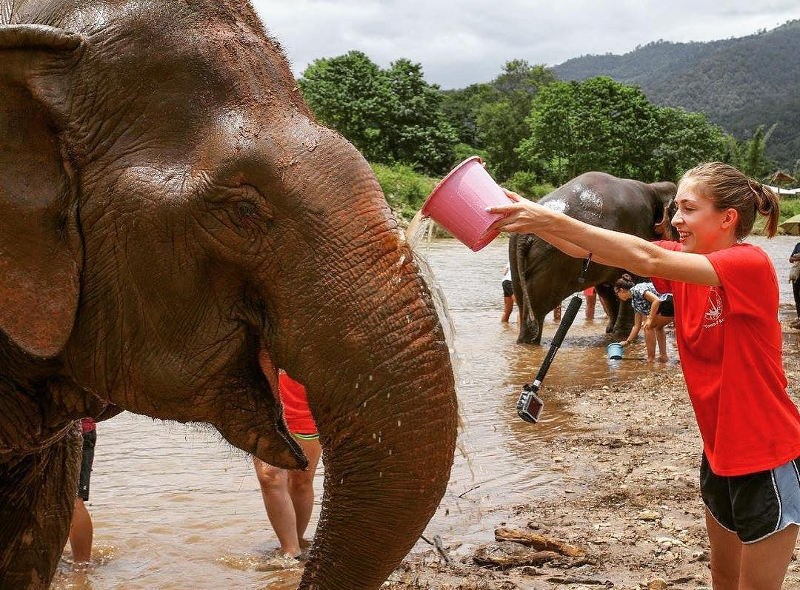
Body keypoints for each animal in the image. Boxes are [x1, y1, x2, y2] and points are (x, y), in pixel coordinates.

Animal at [510, 171, 680, 344]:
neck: (655, 188)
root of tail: (525, 235)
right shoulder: (639, 232)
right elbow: (631, 282)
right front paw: (622, 337)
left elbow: (608, 290)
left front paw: (611, 333)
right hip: (550, 264)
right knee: (537, 310)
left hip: (517, 261)